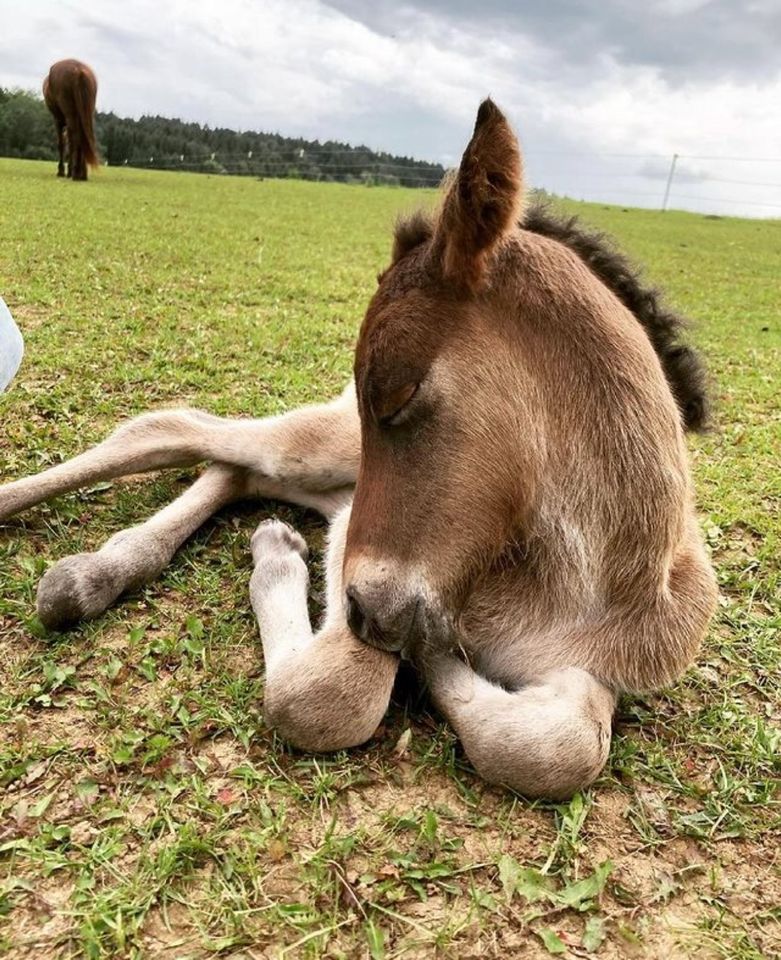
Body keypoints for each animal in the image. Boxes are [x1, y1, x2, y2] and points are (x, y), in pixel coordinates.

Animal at [0, 101, 720, 800]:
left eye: (397, 398)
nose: (367, 614)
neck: (571, 581)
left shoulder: (590, 668)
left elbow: (558, 751)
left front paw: (432, 655)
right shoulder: (362, 549)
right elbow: (329, 697)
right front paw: (294, 576)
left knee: (235, 468)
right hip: (325, 445)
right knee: (177, 429)